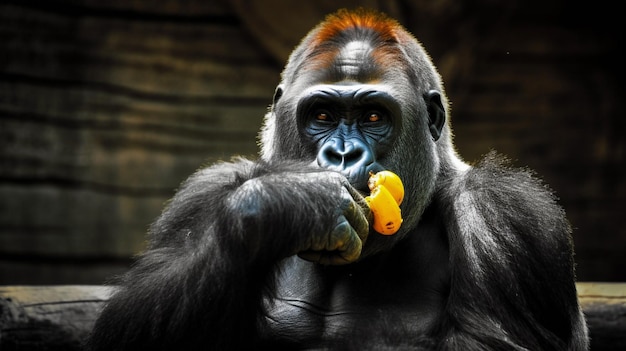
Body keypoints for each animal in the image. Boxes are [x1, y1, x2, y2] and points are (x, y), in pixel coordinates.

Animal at [88, 8, 584, 351]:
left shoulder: (504, 214)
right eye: (322, 115)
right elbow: (127, 324)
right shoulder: (204, 192)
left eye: (373, 116)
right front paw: (280, 205)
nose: (342, 154)